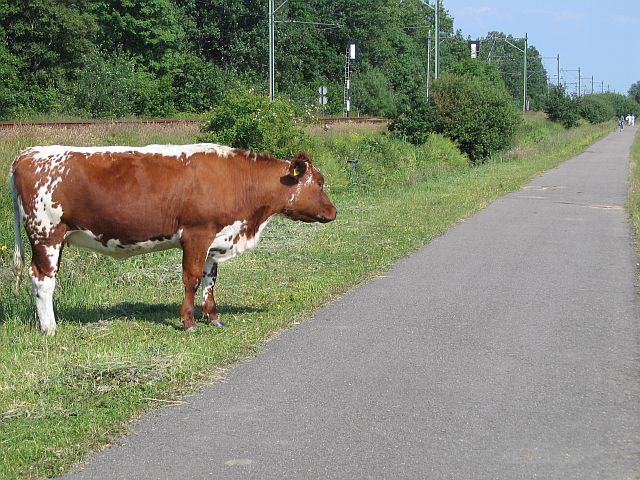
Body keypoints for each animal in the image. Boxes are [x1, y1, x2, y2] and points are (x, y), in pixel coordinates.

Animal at [9, 143, 337, 335]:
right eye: (320, 182)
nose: (334, 211)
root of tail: (28, 153)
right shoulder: (196, 234)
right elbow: (191, 279)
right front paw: (189, 322)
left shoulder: (215, 239)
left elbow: (209, 280)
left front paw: (213, 318)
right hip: (46, 234)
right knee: (42, 280)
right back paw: (50, 328)